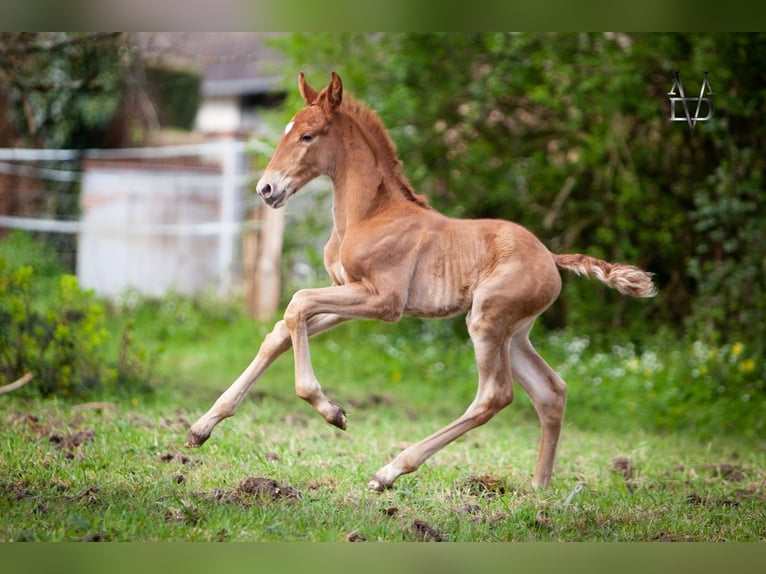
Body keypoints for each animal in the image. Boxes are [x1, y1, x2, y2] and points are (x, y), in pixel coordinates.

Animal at [188, 72, 660, 492]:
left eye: (307, 136)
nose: (266, 189)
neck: (370, 214)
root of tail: (550, 256)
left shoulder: (384, 301)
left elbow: (298, 302)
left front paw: (333, 412)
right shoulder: (348, 294)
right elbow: (281, 330)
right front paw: (200, 428)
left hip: (487, 321)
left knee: (494, 395)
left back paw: (389, 472)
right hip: (515, 332)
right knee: (551, 390)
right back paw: (539, 489)